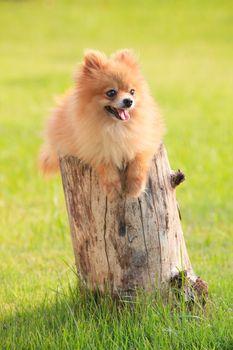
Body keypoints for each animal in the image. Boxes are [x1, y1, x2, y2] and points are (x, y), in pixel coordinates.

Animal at [39, 48, 164, 200]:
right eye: (111, 92)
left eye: (132, 92)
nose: (129, 101)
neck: (115, 127)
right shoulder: (96, 149)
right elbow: (106, 167)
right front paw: (113, 189)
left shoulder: (145, 142)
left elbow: (138, 162)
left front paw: (135, 188)